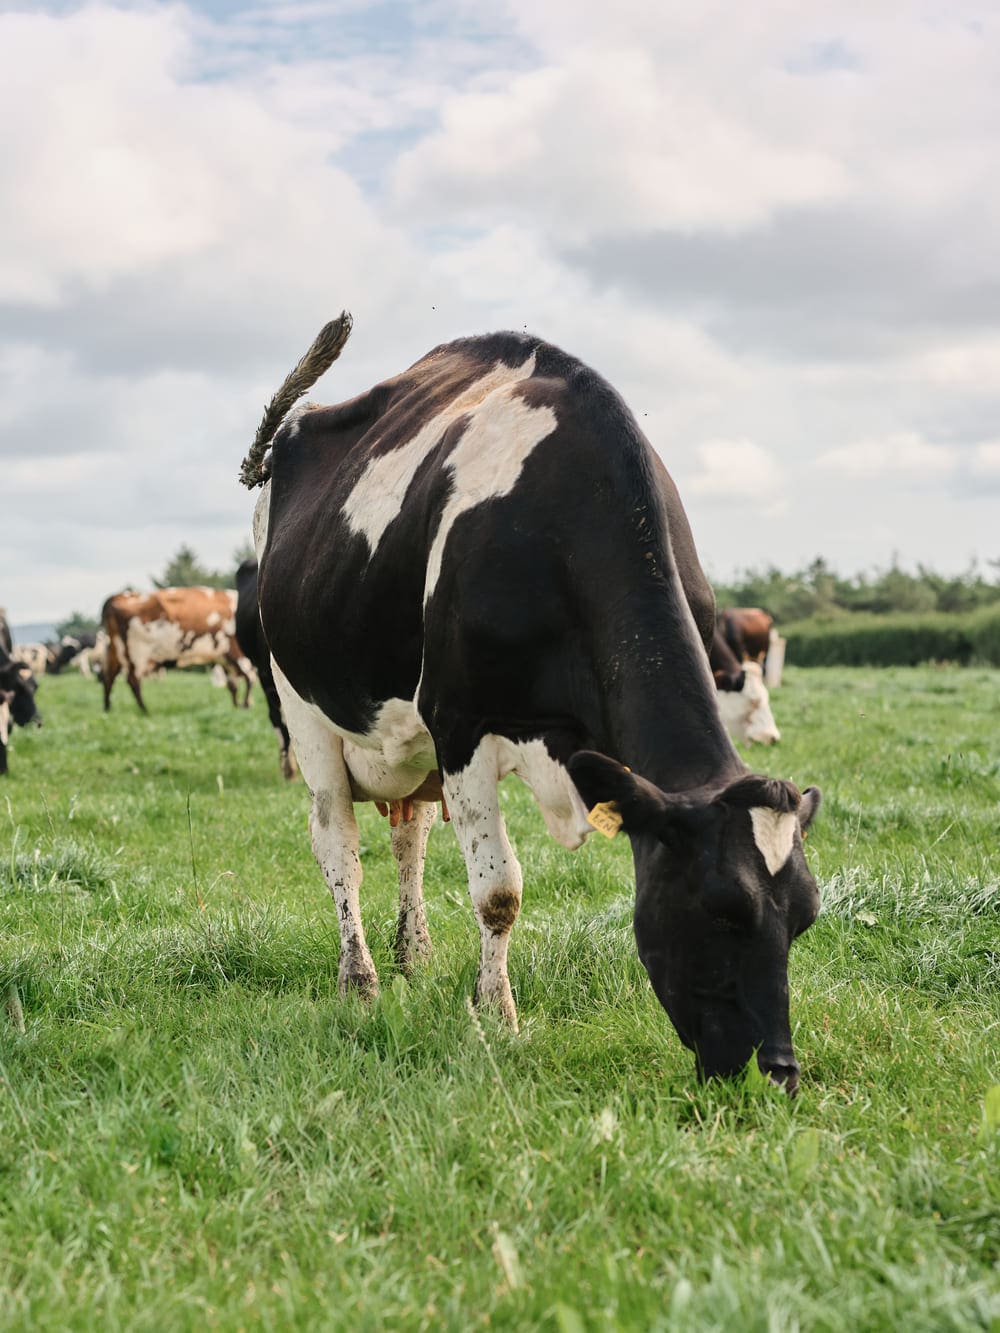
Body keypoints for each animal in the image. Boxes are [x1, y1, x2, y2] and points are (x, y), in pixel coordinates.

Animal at [100, 583, 254, 709]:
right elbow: (249, 679)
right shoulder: (237, 653)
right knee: (133, 680)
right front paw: (246, 705)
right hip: (137, 652)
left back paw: (108, 709)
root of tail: (117, 597)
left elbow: (232, 685)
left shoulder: (224, 658)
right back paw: (145, 711)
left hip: (115, 649)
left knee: (109, 676)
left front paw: (237, 706)